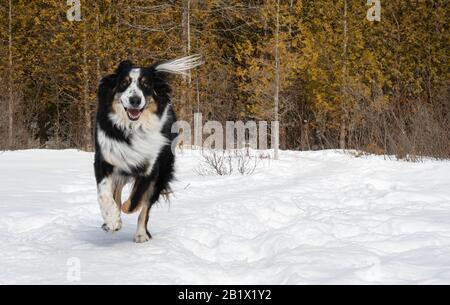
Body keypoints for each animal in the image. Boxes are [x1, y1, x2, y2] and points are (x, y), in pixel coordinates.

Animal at [94, 54, 201, 242]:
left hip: (163, 171)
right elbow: (104, 193)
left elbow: (135, 201)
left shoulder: (151, 166)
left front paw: (124, 210)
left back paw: (141, 234)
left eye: (145, 84)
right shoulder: (105, 158)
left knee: (145, 206)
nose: (135, 100)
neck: (133, 128)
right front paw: (112, 220)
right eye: (124, 83)